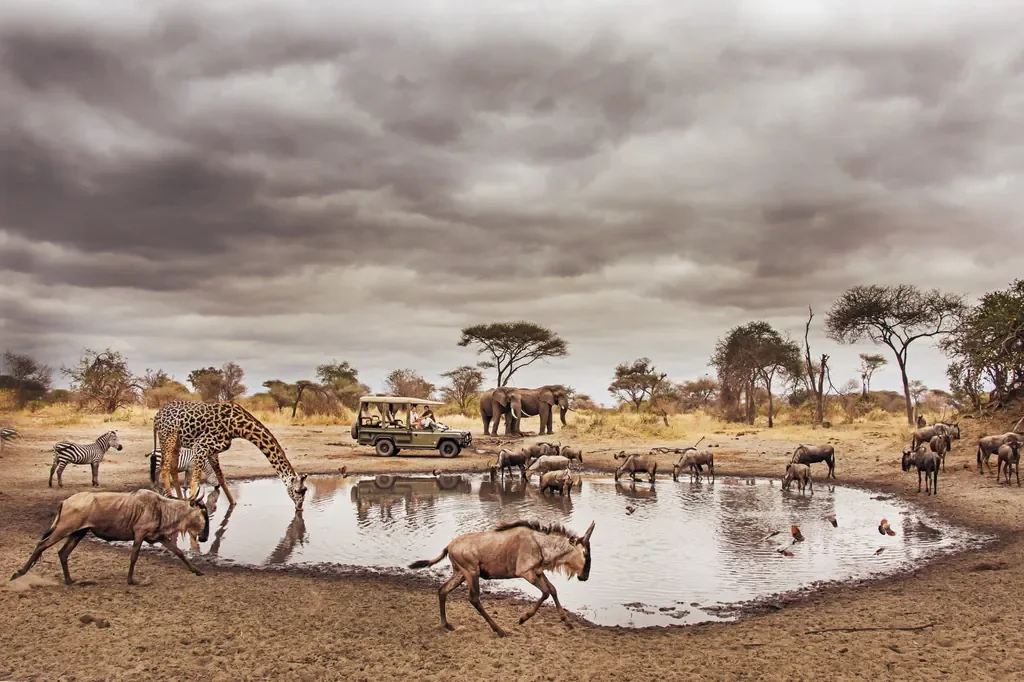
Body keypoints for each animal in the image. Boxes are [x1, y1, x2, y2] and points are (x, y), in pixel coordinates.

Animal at [153, 401, 308, 511]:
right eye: (298, 491)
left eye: (305, 490)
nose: (300, 508)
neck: (237, 427)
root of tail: (156, 417)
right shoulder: (200, 446)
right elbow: (195, 481)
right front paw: (192, 505)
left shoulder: (212, 451)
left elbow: (221, 478)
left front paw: (233, 504)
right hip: (168, 437)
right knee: (164, 468)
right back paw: (171, 498)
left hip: (176, 442)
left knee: (172, 468)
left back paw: (178, 498)